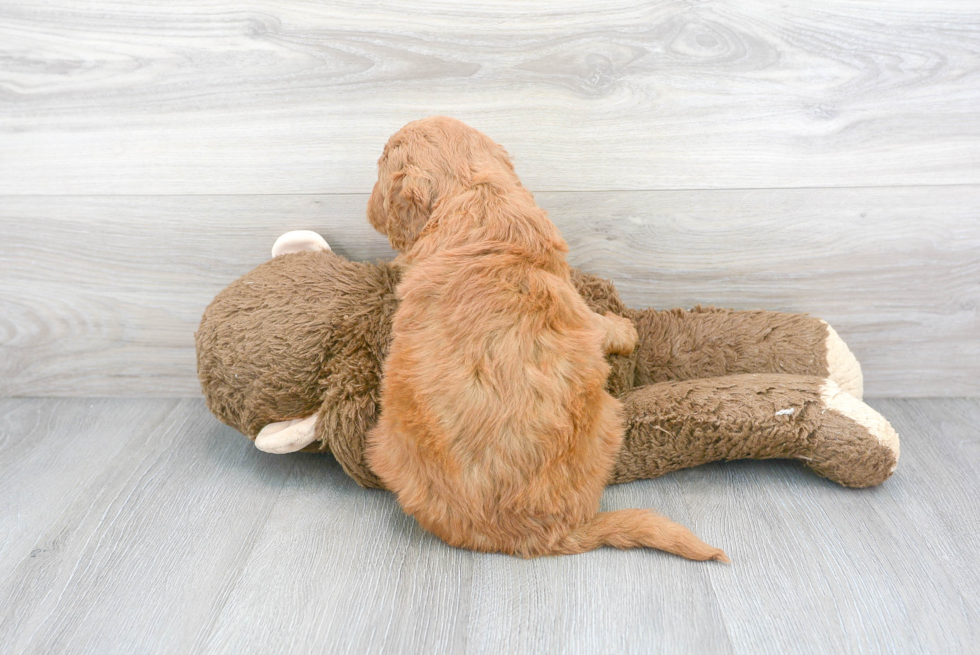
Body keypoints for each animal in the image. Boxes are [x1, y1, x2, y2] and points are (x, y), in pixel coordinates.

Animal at [364, 115, 724, 560]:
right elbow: (601, 325)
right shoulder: (575, 305)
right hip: (607, 422)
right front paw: (625, 329)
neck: (475, 196)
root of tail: (541, 538)